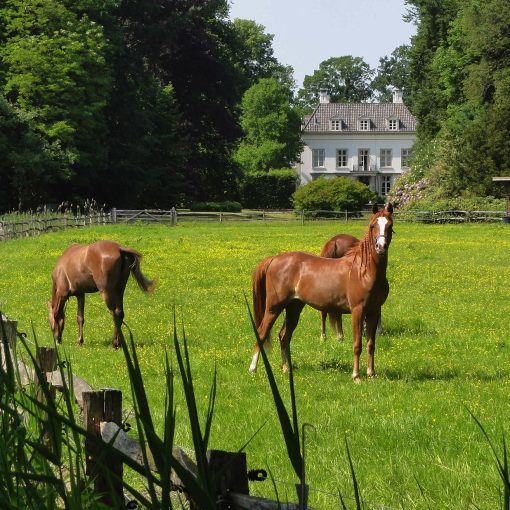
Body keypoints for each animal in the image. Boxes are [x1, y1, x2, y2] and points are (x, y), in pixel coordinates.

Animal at [249, 203, 392, 382]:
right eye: (373, 226)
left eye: (390, 225)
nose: (381, 247)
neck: (364, 271)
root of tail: (274, 259)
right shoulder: (358, 311)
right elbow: (357, 344)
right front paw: (356, 376)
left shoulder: (374, 311)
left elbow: (371, 344)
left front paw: (371, 374)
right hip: (274, 307)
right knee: (261, 333)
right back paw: (253, 369)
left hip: (294, 307)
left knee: (284, 336)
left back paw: (287, 368)